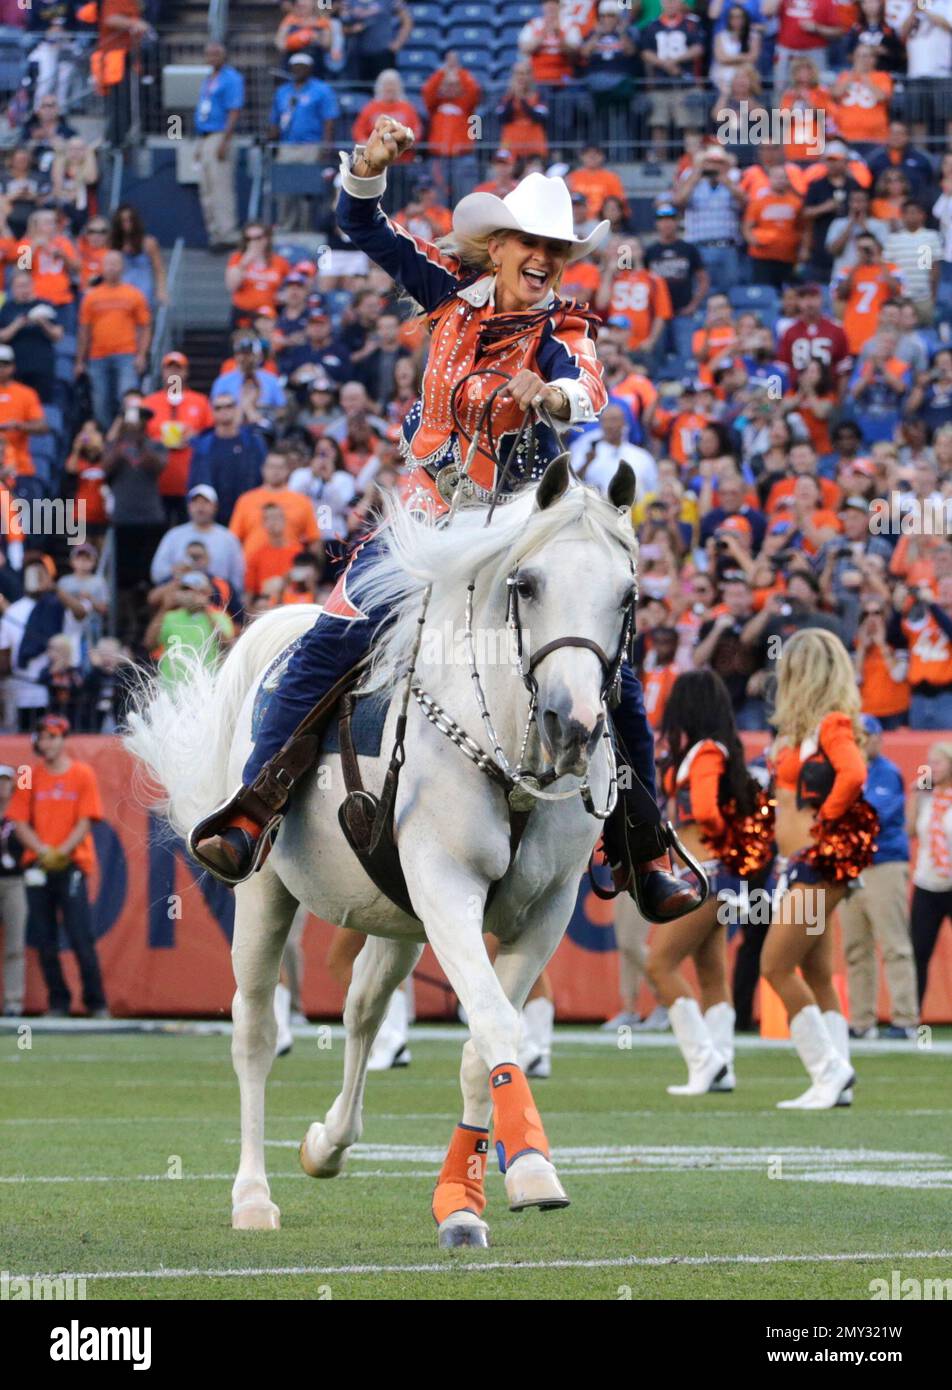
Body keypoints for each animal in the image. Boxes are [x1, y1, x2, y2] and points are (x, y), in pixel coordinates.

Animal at [122, 458, 633, 1251]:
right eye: (527, 584)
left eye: (627, 595)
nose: (571, 724)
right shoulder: (446, 884)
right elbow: (493, 1020)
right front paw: (528, 1164)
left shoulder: (547, 908)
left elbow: (479, 1042)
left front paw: (470, 1198)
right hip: (265, 894)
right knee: (255, 1033)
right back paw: (253, 1196)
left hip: (400, 922)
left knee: (362, 1009)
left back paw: (326, 1146)